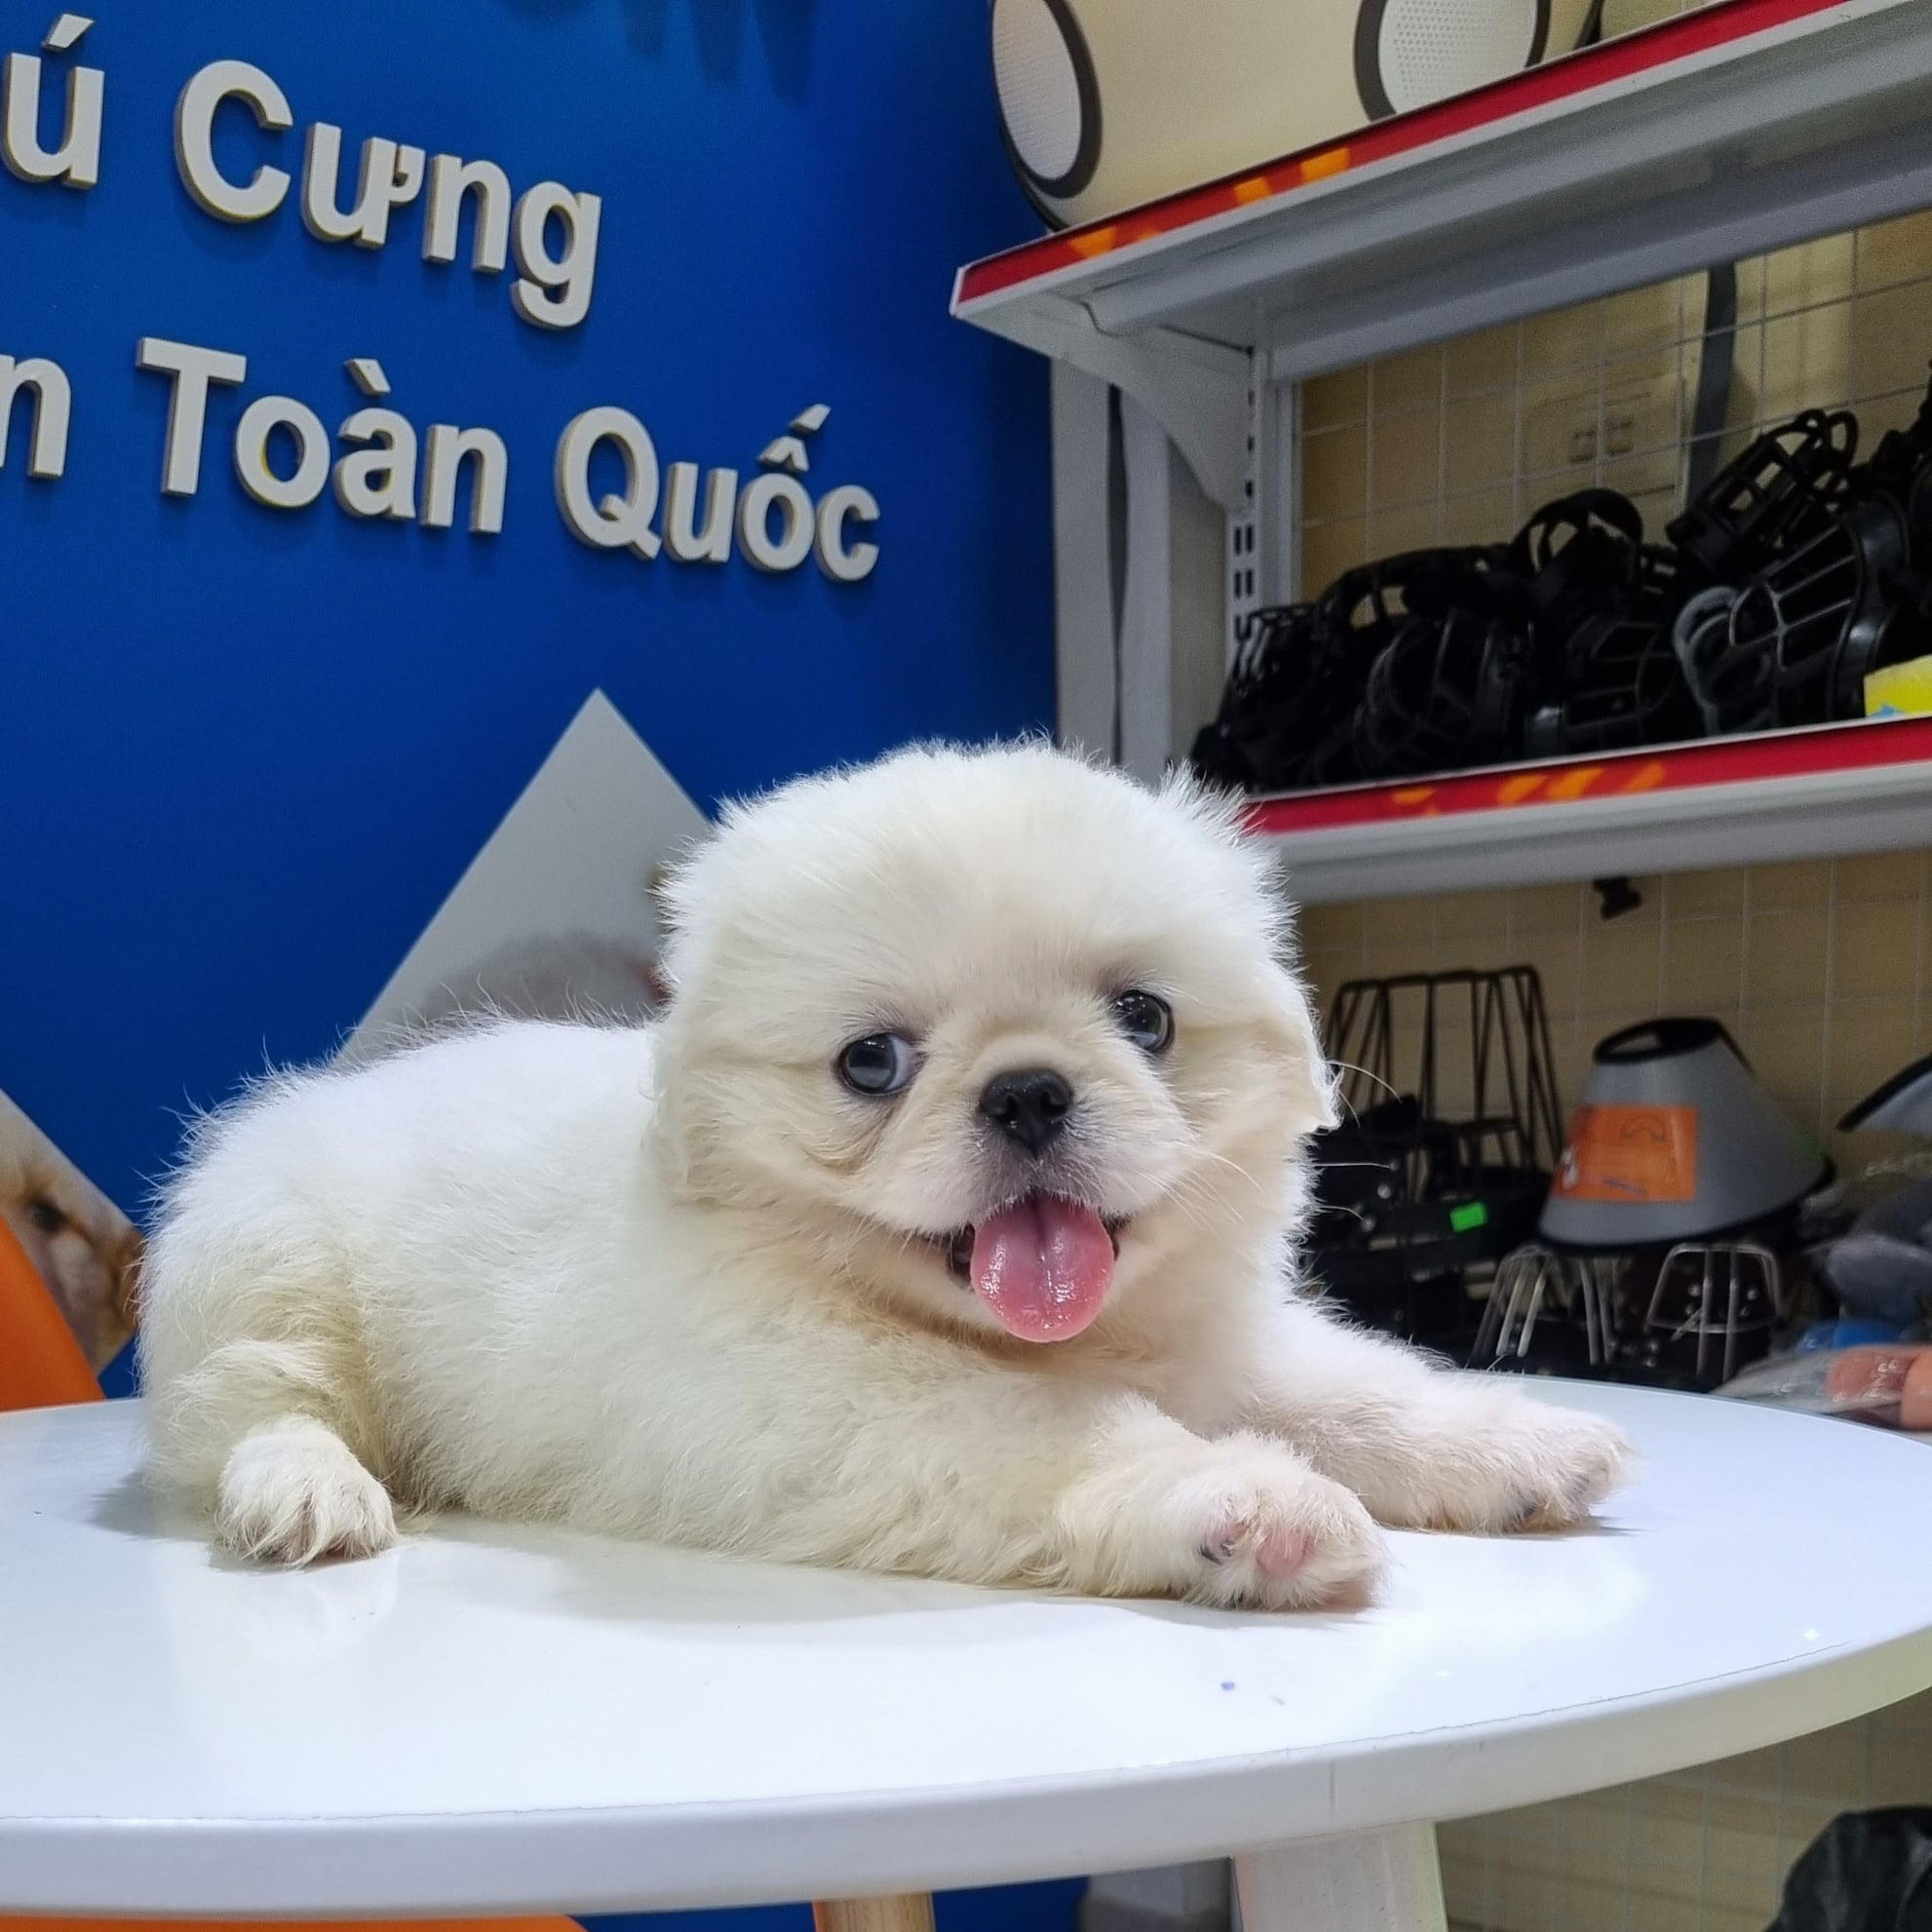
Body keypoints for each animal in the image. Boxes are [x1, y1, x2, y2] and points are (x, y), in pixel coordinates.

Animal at [139, 743, 1629, 1607]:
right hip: (260, 1262)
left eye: (1143, 1017)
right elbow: (1065, 1436)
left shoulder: (1218, 1346)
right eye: (872, 1062)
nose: (1027, 1088)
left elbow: (1354, 1390)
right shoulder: (822, 1406)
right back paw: (310, 1492)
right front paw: (1253, 1510)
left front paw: (1512, 1443)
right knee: (257, 1409)